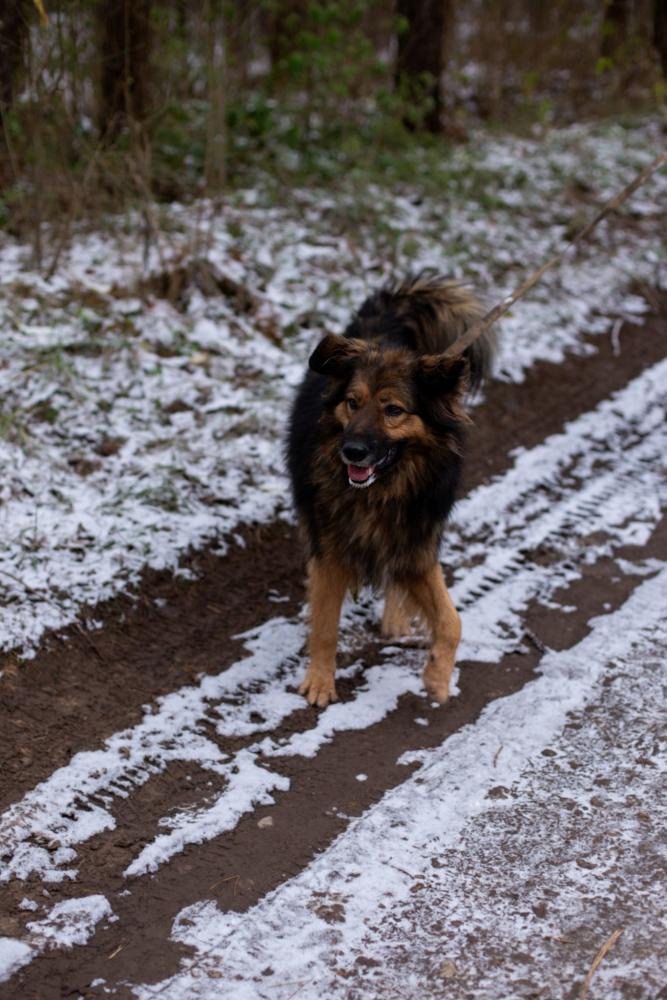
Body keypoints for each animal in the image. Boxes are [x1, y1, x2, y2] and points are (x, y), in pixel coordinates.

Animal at [287, 272, 494, 707]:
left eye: (393, 410)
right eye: (352, 402)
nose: (351, 451)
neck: (381, 490)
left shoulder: (416, 544)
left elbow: (452, 621)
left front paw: (437, 677)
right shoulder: (331, 551)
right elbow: (325, 625)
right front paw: (320, 682)